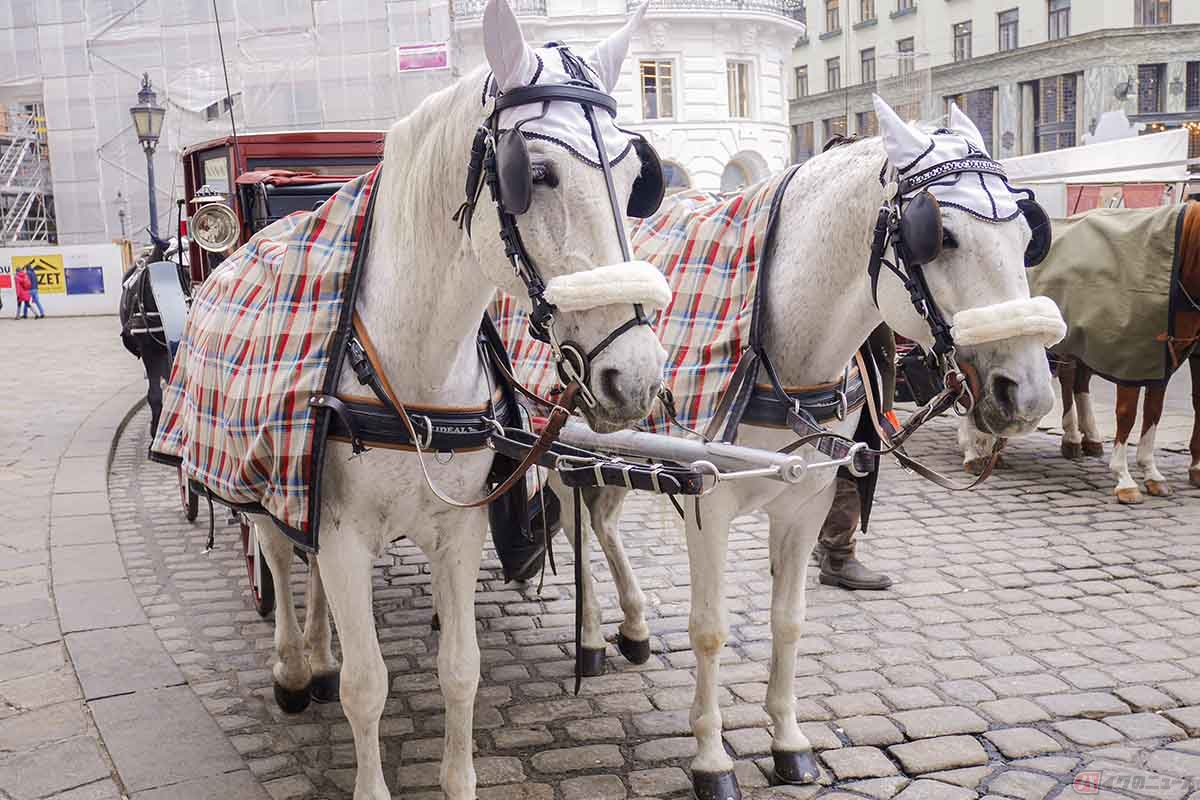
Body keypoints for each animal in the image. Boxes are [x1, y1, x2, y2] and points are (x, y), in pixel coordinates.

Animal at [168, 4, 671, 798]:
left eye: (634, 181)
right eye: (535, 173)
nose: (638, 375)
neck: (415, 370)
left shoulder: (456, 530)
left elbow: (460, 670)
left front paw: (457, 777)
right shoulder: (338, 528)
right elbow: (367, 686)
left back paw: (318, 654)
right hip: (264, 474)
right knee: (277, 554)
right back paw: (293, 667)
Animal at [538, 98, 1064, 799]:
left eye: (1028, 233)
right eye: (941, 235)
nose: (1028, 393)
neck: (779, 348)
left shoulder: (807, 501)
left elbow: (789, 619)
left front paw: (789, 742)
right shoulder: (708, 504)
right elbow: (710, 630)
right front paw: (712, 758)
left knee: (601, 522)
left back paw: (634, 627)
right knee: (575, 526)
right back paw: (593, 637)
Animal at [959, 202, 1200, 502]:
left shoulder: (1158, 363)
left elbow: (1153, 413)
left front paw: (1151, 472)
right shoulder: (1127, 360)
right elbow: (1127, 415)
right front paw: (1124, 477)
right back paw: (974, 451)